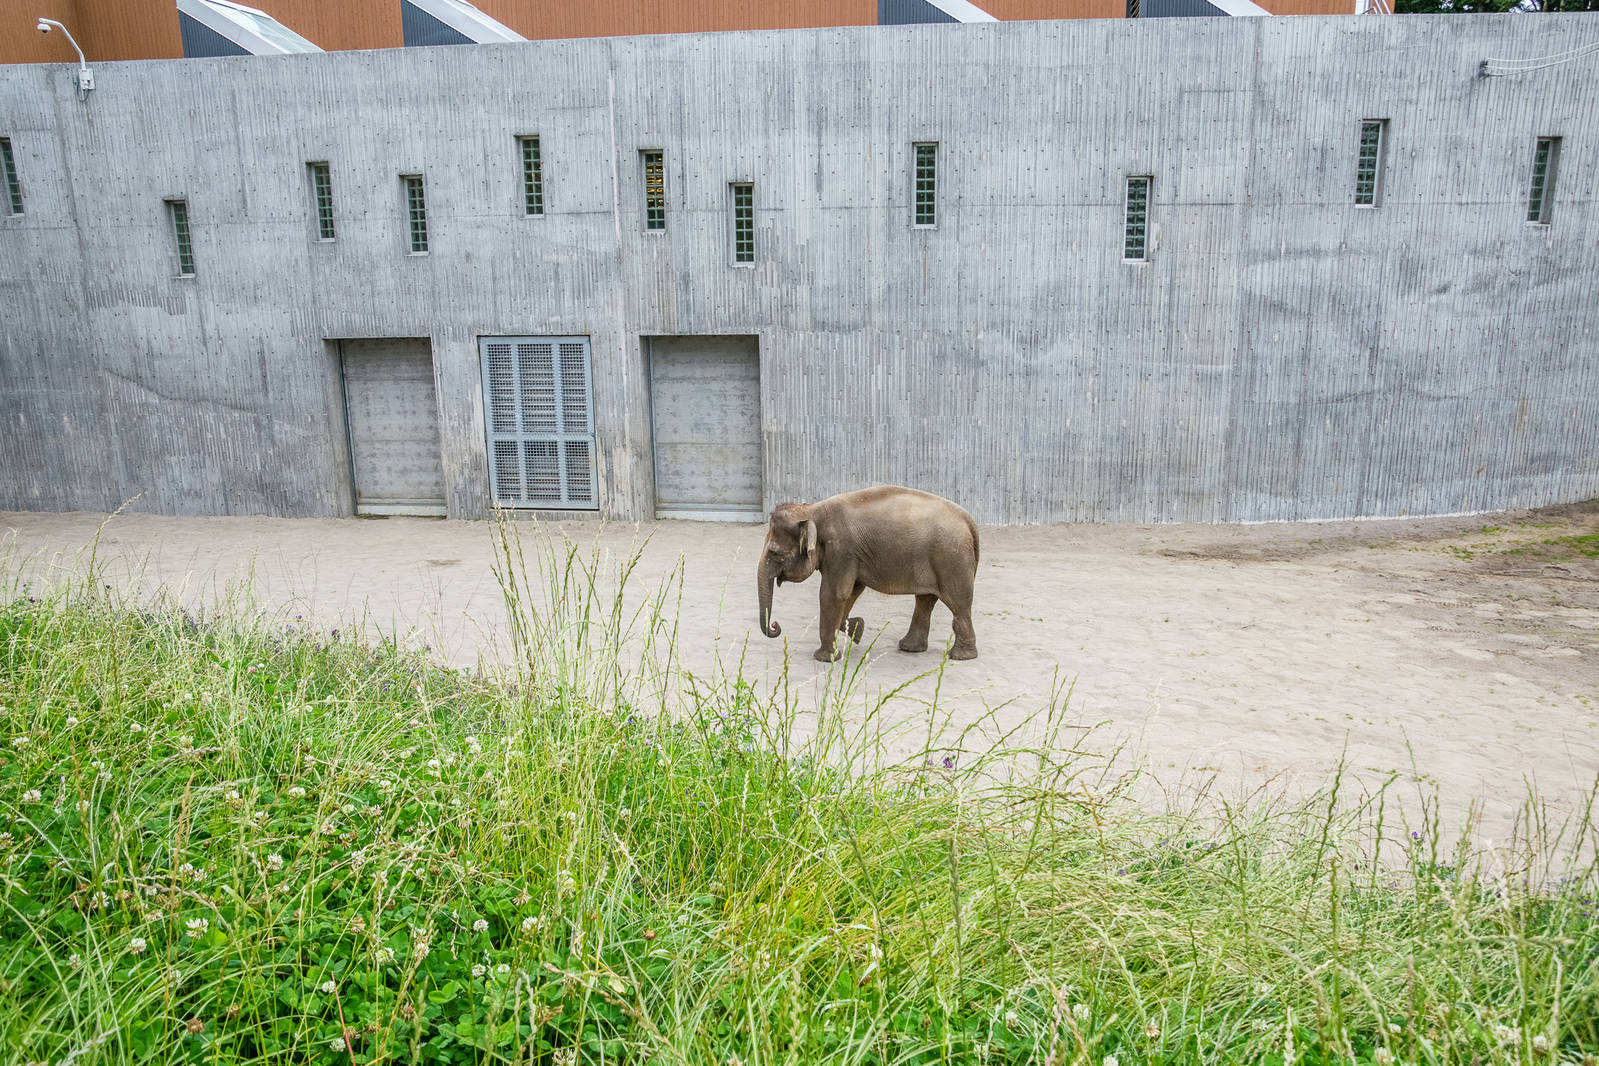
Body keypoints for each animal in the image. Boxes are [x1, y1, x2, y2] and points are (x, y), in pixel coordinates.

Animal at [757, 485, 980, 663]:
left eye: (774, 552)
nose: (775, 625)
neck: (812, 510)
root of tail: (968, 519)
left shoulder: (841, 550)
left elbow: (833, 594)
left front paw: (825, 658)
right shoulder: (851, 556)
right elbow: (852, 591)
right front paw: (856, 630)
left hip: (951, 559)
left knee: (957, 603)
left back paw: (960, 656)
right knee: (925, 600)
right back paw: (911, 648)